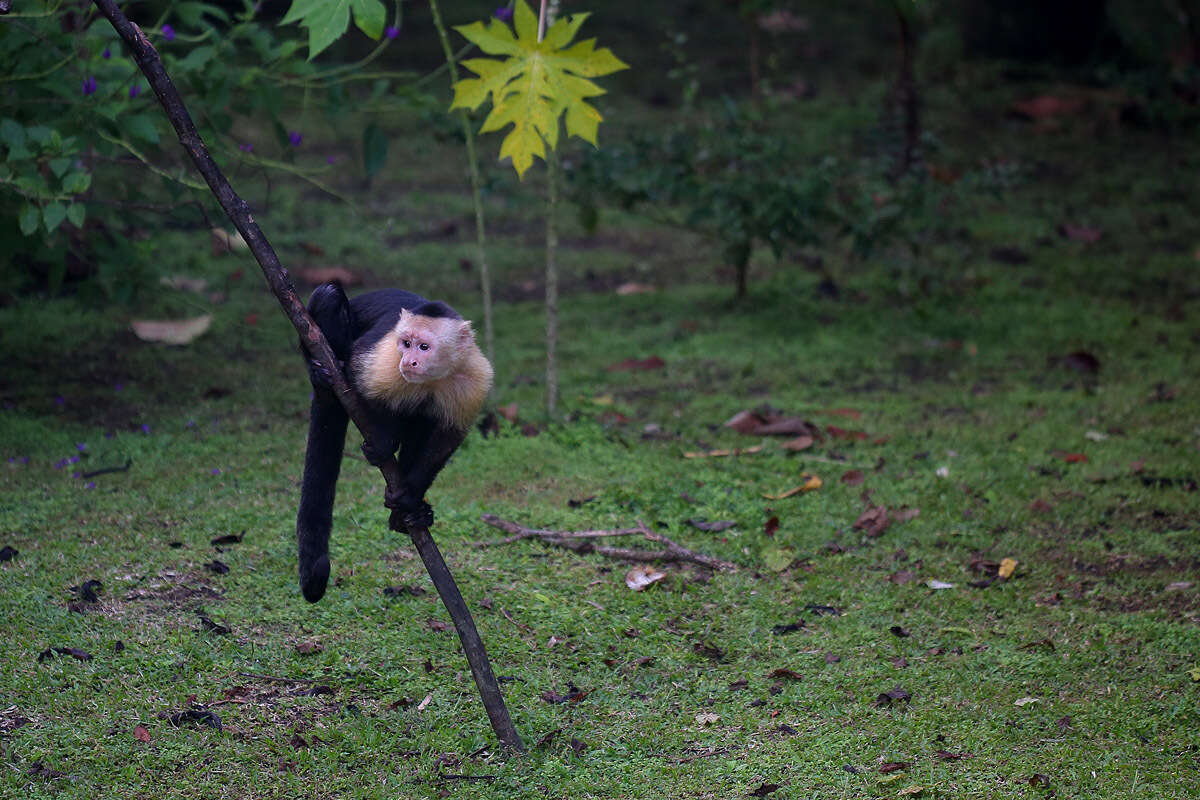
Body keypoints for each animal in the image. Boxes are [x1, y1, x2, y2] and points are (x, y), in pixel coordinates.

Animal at [297, 281, 494, 599]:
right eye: (406, 343)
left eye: (424, 347)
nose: (409, 361)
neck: (434, 376)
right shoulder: (386, 359)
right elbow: (353, 379)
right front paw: (382, 442)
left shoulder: (474, 377)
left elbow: (448, 436)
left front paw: (410, 496)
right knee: (329, 297)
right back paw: (321, 378)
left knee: (424, 415)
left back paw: (408, 513)